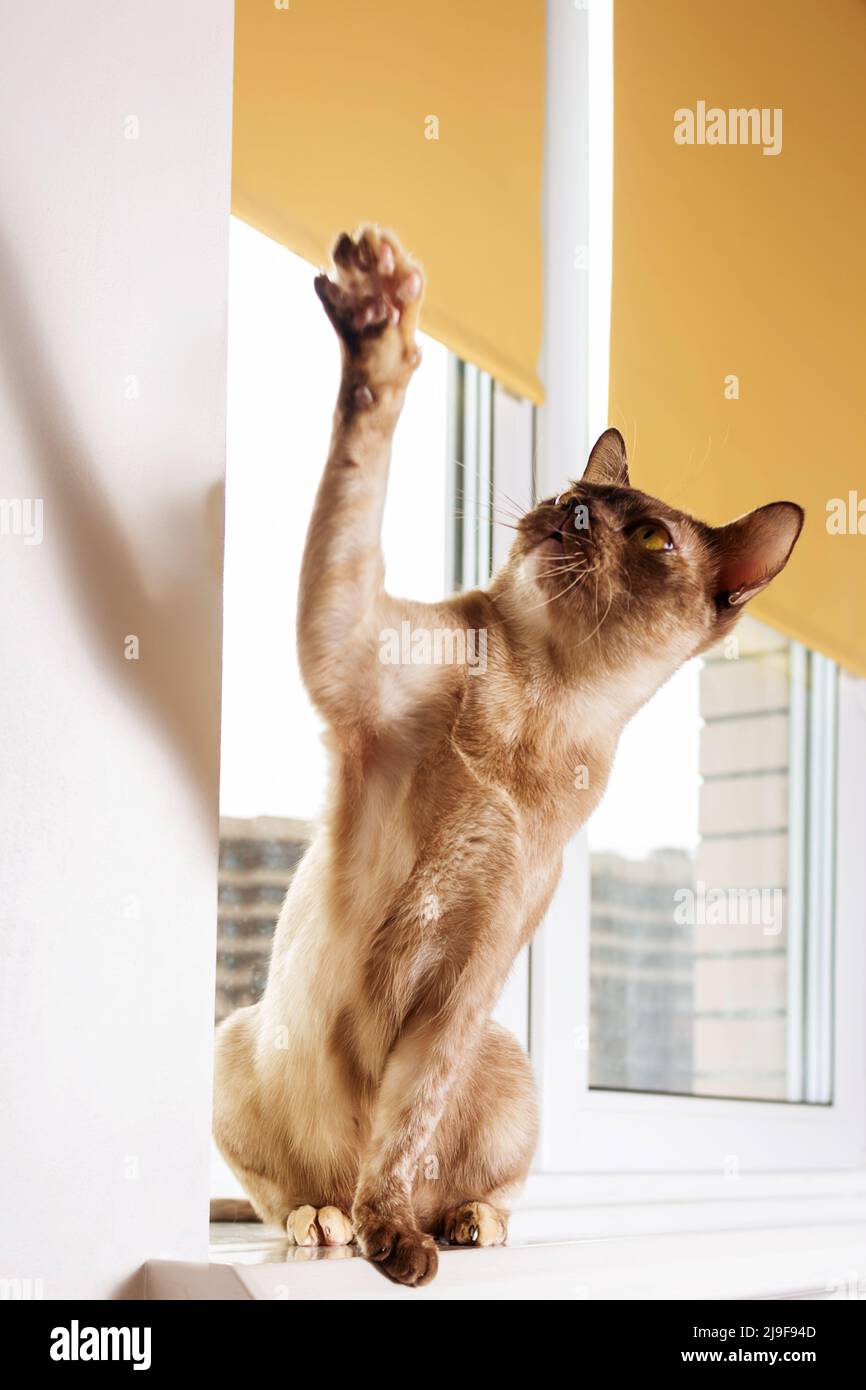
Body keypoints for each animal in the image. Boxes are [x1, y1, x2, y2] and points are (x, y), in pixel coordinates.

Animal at [211, 222, 806, 1284]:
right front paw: (379, 316)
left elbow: (404, 1135)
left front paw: (401, 1247)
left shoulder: (464, 983)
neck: (541, 704)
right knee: (286, 1193)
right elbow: (364, 450)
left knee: (454, 1182)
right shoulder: (346, 642)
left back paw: (464, 1224)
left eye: (650, 538)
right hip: (236, 1043)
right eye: (574, 497)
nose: (574, 515)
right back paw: (327, 1225)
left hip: (505, 1060)